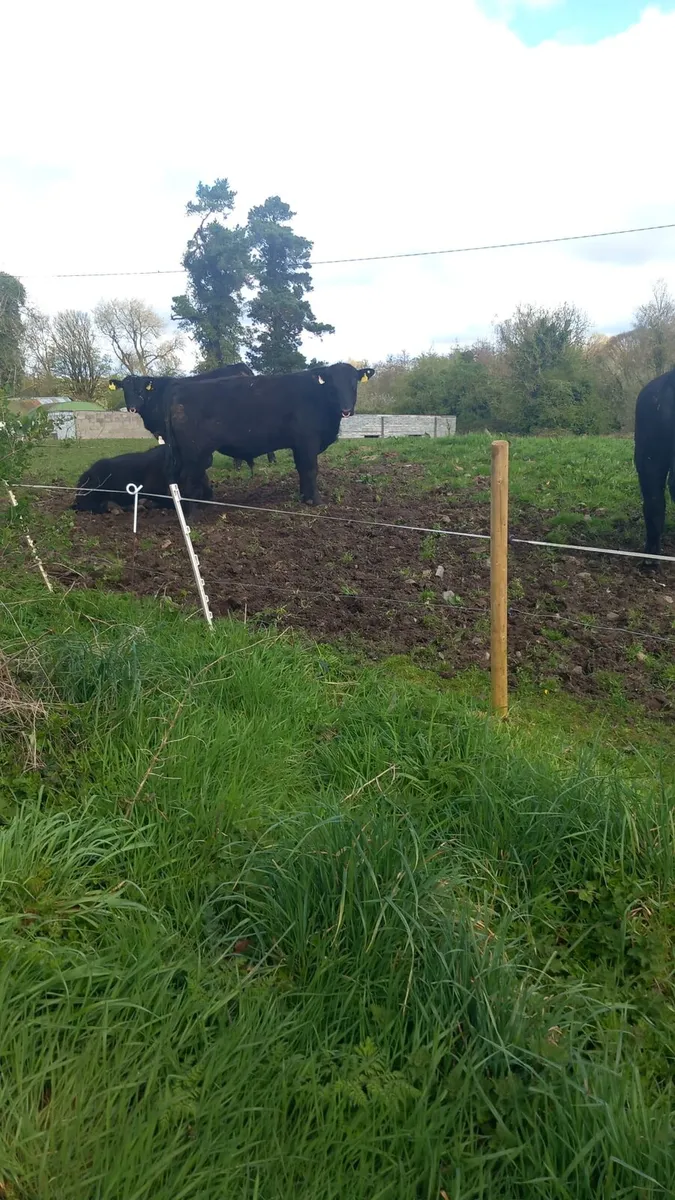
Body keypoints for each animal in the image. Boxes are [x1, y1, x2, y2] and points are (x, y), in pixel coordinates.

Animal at [143, 362, 375, 512]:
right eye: (332, 384)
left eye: (354, 383)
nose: (346, 409)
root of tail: (179, 388)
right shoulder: (308, 441)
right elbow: (310, 470)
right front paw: (316, 501)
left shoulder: (299, 445)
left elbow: (301, 469)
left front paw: (304, 497)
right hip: (195, 451)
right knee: (188, 477)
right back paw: (193, 513)